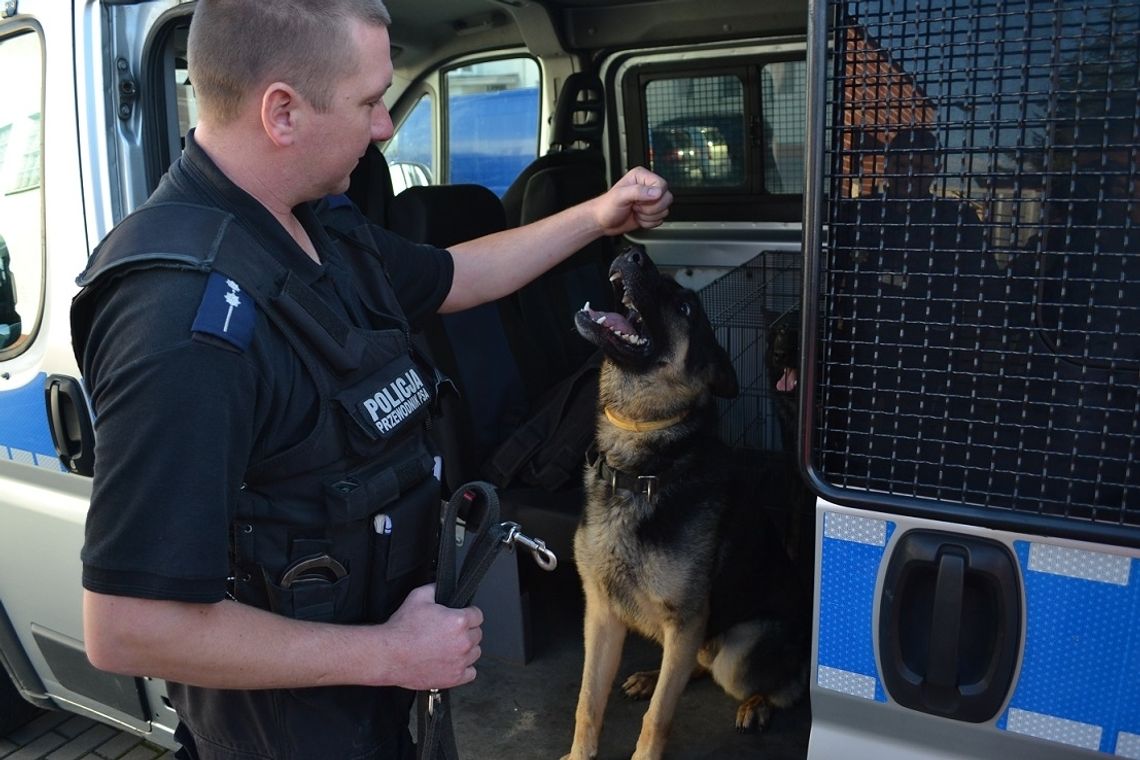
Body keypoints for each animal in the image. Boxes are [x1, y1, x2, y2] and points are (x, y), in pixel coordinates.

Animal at [565, 247, 807, 756]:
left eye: (686, 308)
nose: (634, 252)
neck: (642, 465)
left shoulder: (686, 621)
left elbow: (658, 717)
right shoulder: (601, 615)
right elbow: (588, 703)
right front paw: (578, 753)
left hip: (739, 649)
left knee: (784, 684)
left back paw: (757, 704)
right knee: (693, 665)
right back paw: (650, 675)